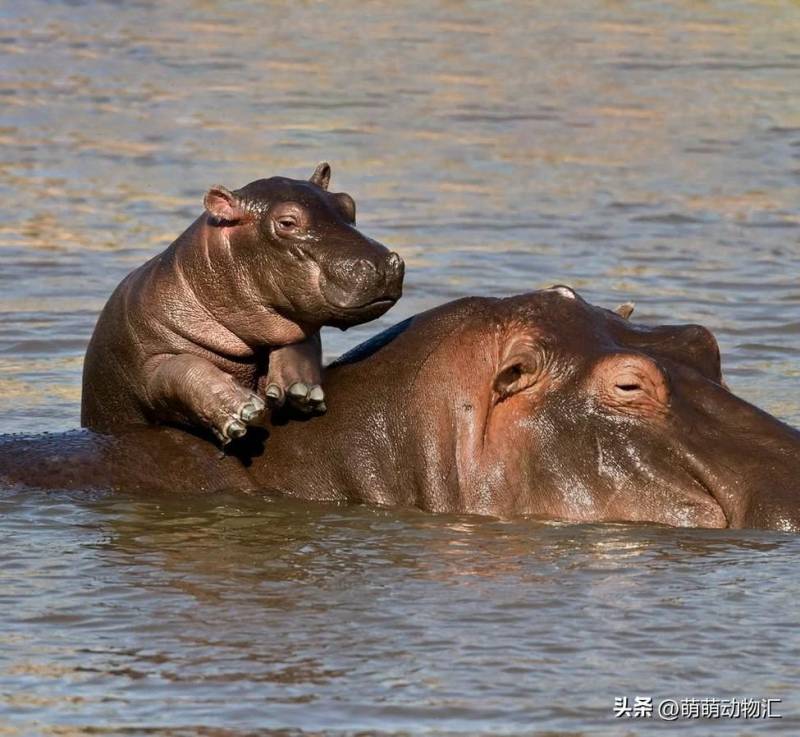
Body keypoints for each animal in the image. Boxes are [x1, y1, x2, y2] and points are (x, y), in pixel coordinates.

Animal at [81, 162, 404, 442]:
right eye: (287, 222)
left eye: (348, 203)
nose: (382, 264)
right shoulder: (148, 368)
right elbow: (182, 369)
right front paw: (240, 409)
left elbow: (300, 340)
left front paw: (301, 390)